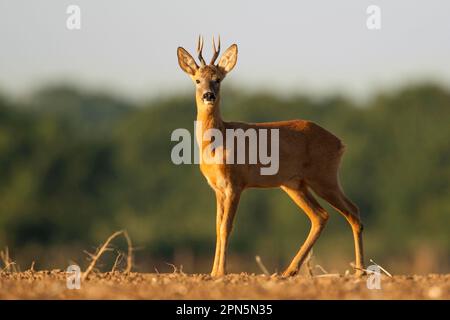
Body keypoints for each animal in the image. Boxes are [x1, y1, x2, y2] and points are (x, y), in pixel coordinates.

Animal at [177, 36, 366, 276]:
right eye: (197, 80)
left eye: (217, 79)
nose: (208, 95)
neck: (219, 141)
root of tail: (340, 143)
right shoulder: (217, 188)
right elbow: (217, 227)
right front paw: (212, 272)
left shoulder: (235, 183)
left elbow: (227, 227)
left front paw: (221, 272)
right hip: (294, 184)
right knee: (321, 216)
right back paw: (289, 271)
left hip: (324, 177)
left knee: (353, 212)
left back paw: (360, 271)